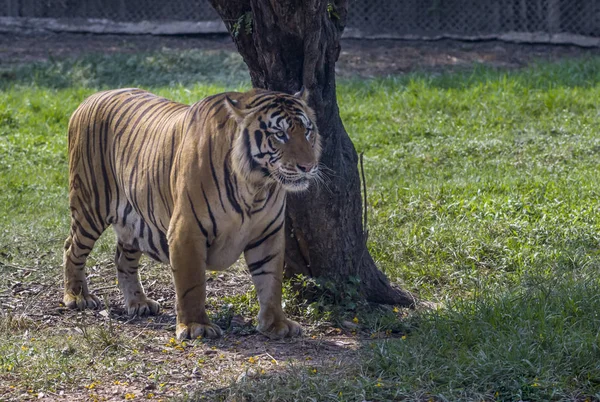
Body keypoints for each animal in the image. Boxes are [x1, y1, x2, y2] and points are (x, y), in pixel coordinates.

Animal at [63, 87, 322, 340]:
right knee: (71, 248)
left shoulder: (268, 234)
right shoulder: (187, 230)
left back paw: (139, 303)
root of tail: (90, 98)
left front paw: (277, 324)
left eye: (307, 131)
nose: (308, 166)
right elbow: (192, 284)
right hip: (90, 206)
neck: (255, 185)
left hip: (134, 221)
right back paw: (77, 297)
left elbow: (271, 281)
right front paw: (196, 326)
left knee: (122, 259)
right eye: (280, 134)